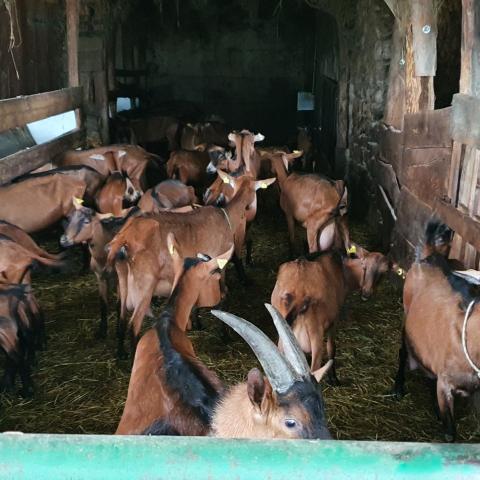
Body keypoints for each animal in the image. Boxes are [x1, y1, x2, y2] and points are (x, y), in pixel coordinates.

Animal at [272, 248, 396, 382]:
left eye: (384, 272)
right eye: (364, 266)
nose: (366, 293)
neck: (343, 270)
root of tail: (297, 296)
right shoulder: (334, 320)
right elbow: (331, 348)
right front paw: (334, 379)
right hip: (315, 335)